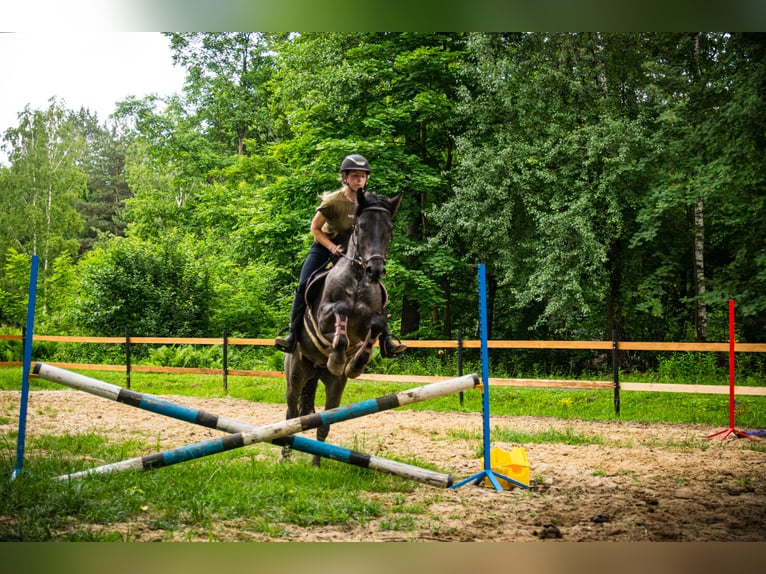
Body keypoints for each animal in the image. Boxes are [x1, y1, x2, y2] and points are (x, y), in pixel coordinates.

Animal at [282, 190, 402, 468]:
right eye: (360, 227)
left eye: (390, 229)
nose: (375, 270)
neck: (358, 279)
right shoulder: (324, 317)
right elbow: (340, 312)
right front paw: (337, 356)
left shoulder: (371, 321)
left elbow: (377, 325)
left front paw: (355, 363)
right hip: (296, 374)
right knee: (291, 414)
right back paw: (285, 456)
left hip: (334, 384)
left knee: (324, 422)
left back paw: (316, 464)